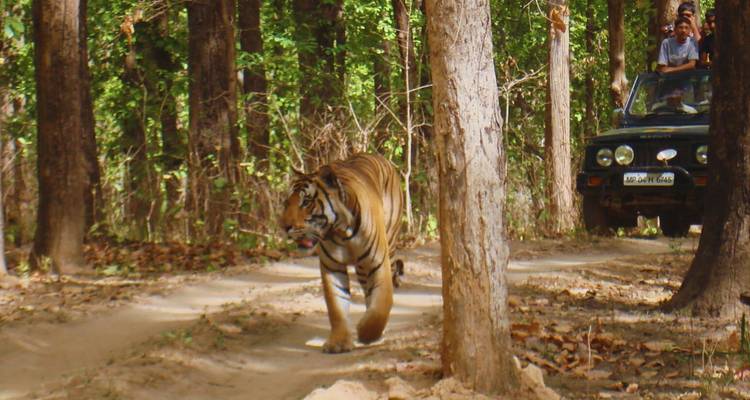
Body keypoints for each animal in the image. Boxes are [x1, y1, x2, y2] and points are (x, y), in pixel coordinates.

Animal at [280, 153, 404, 353]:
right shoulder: (332, 266)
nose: (284, 227)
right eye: (286, 203)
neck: (341, 231)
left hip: (387, 243)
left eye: (306, 202)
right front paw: (338, 342)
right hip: (362, 269)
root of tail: (377, 156)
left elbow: (382, 302)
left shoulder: (378, 263)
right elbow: (336, 305)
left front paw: (367, 332)